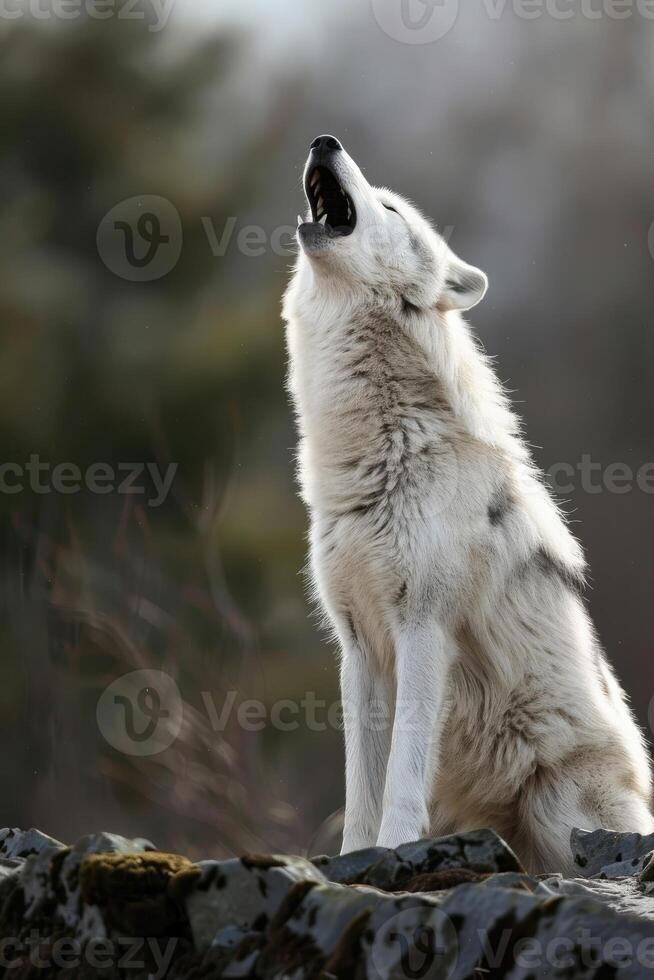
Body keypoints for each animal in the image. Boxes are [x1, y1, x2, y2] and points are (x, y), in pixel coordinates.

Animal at [284, 132, 652, 872]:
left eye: (391, 207)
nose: (324, 140)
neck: (380, 455)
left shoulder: (423, 629)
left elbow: (402, 771)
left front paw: (394, 849)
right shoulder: (358, 646)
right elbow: (361, 783)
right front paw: (354, 856)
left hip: (562, 806)